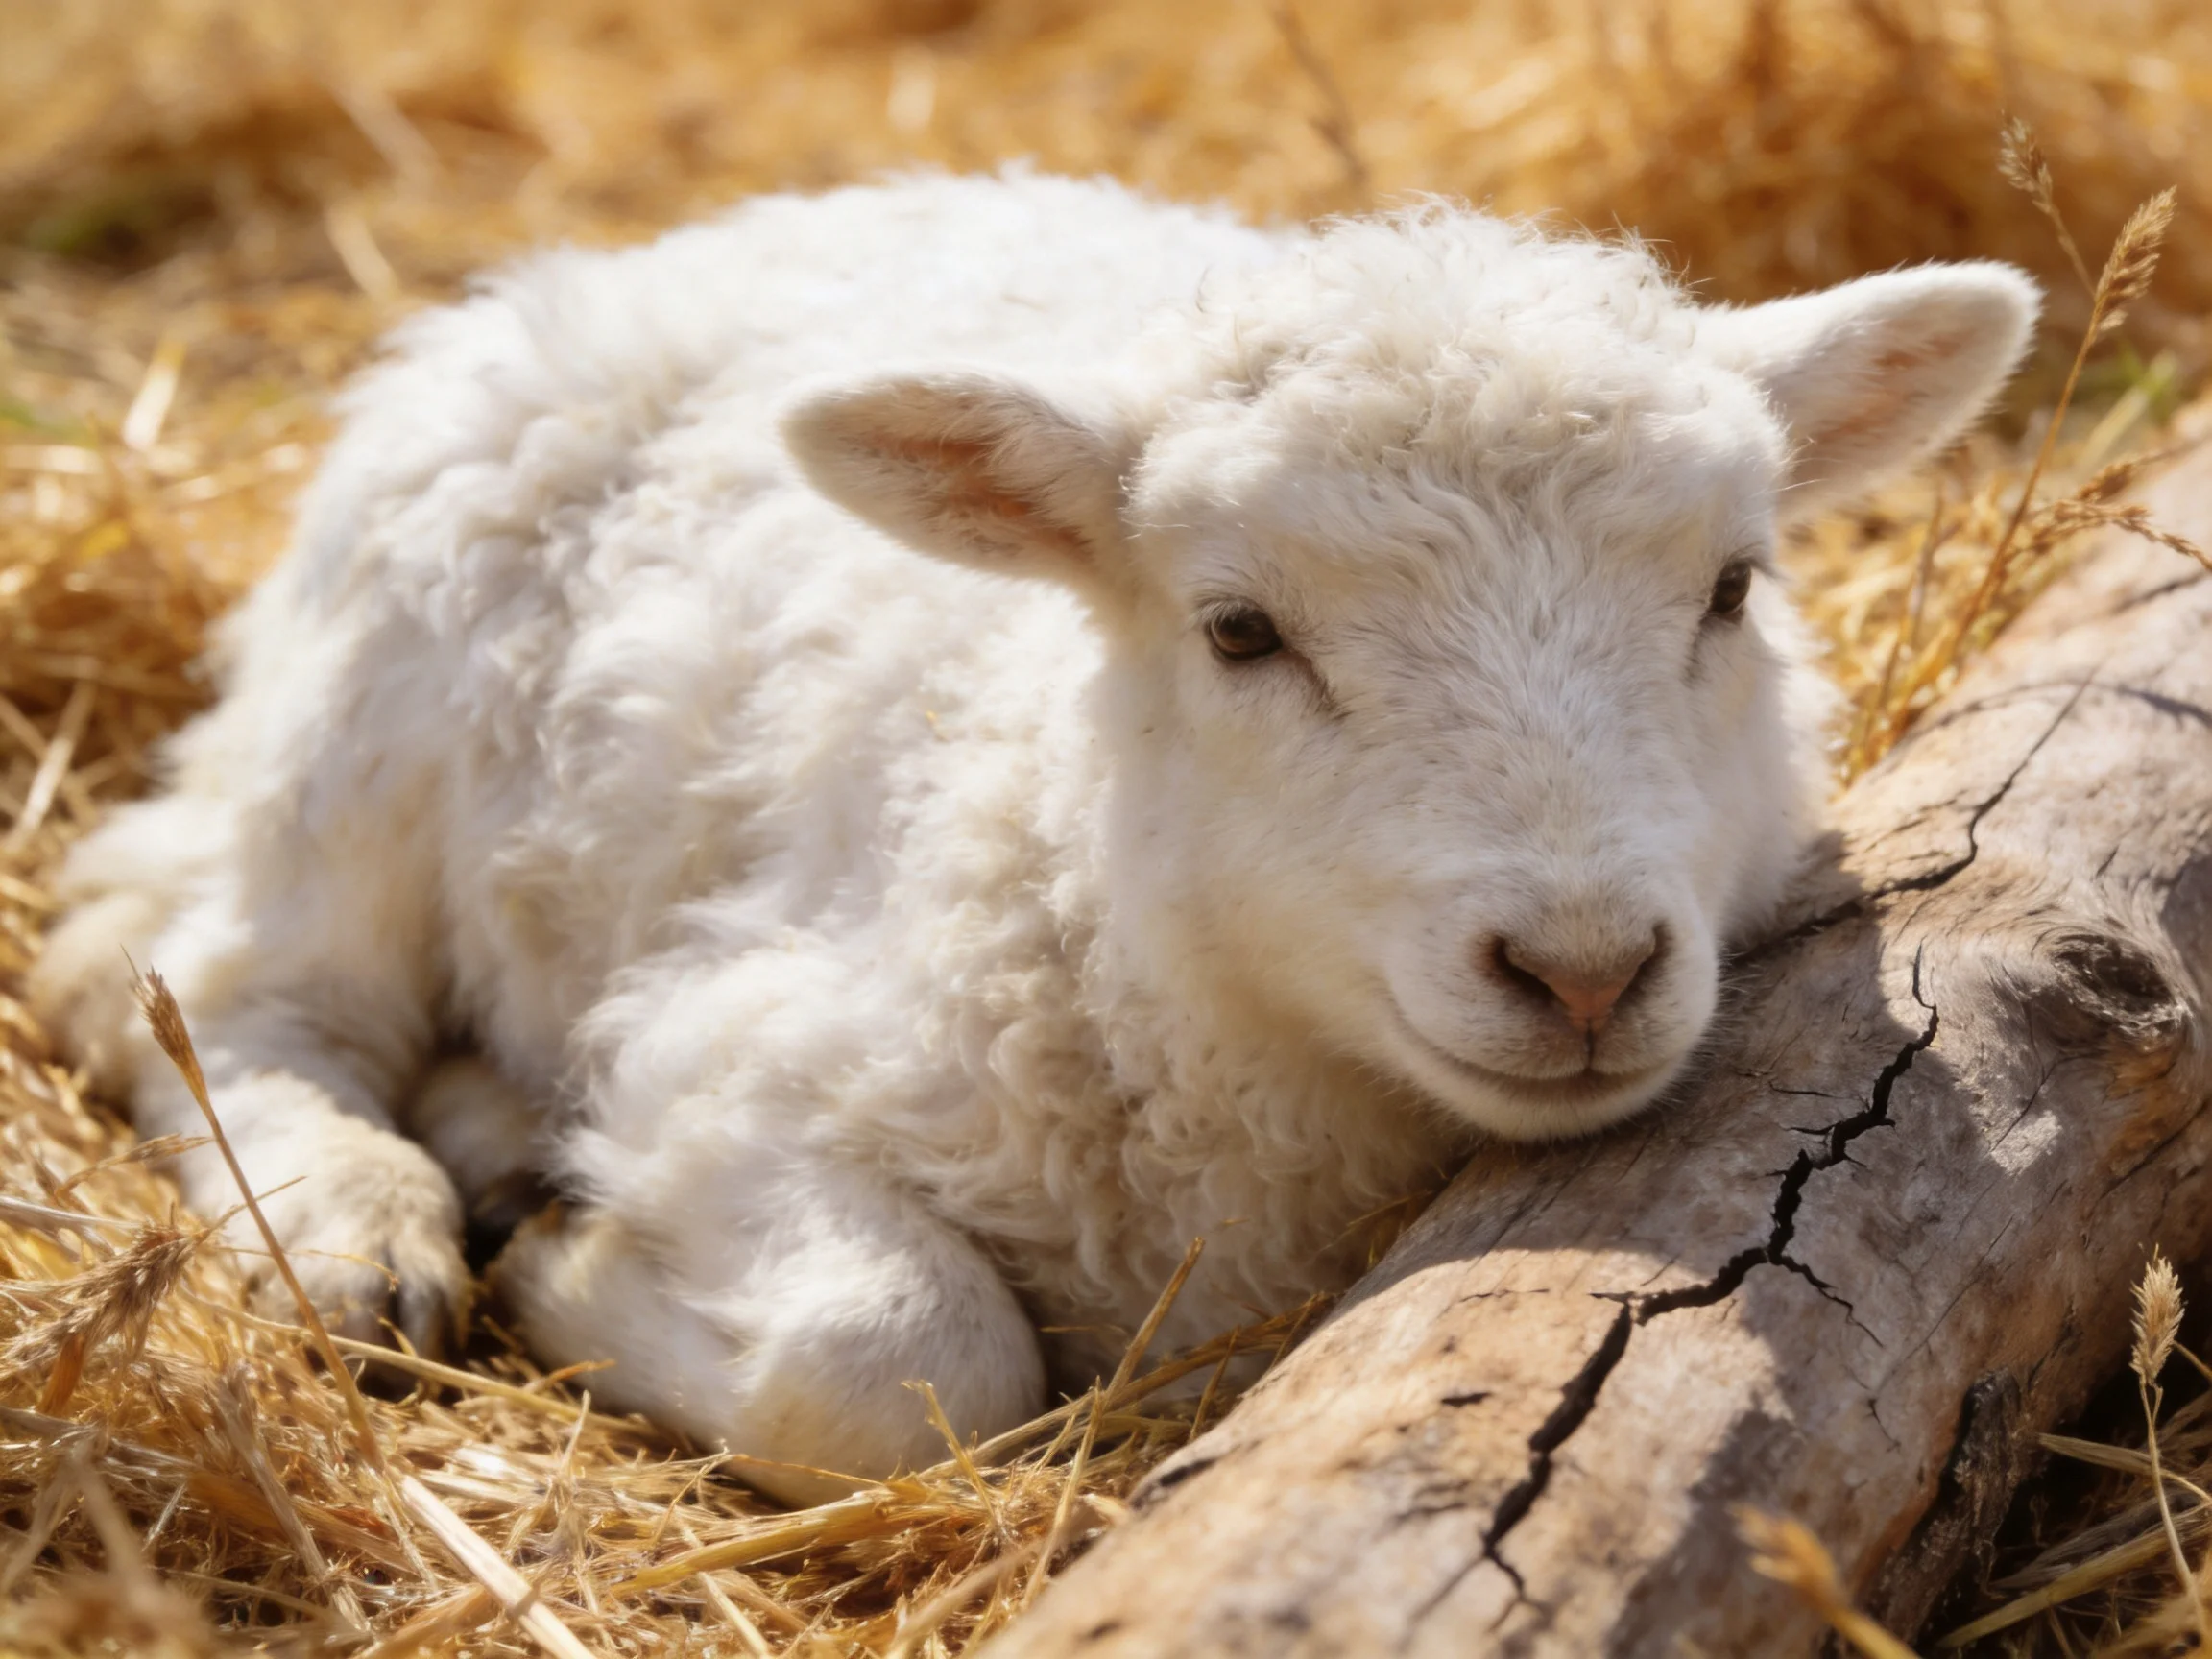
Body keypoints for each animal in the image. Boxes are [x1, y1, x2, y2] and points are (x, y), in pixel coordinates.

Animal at [30, 171, 2036, 1503]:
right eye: (1237, 629)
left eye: (1730, 587)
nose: (1579, 967)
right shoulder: (737, 1050)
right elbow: (895, 1369)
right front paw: (569, 1268)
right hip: (369, 717)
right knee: (211, 985)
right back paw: (359, 1212)